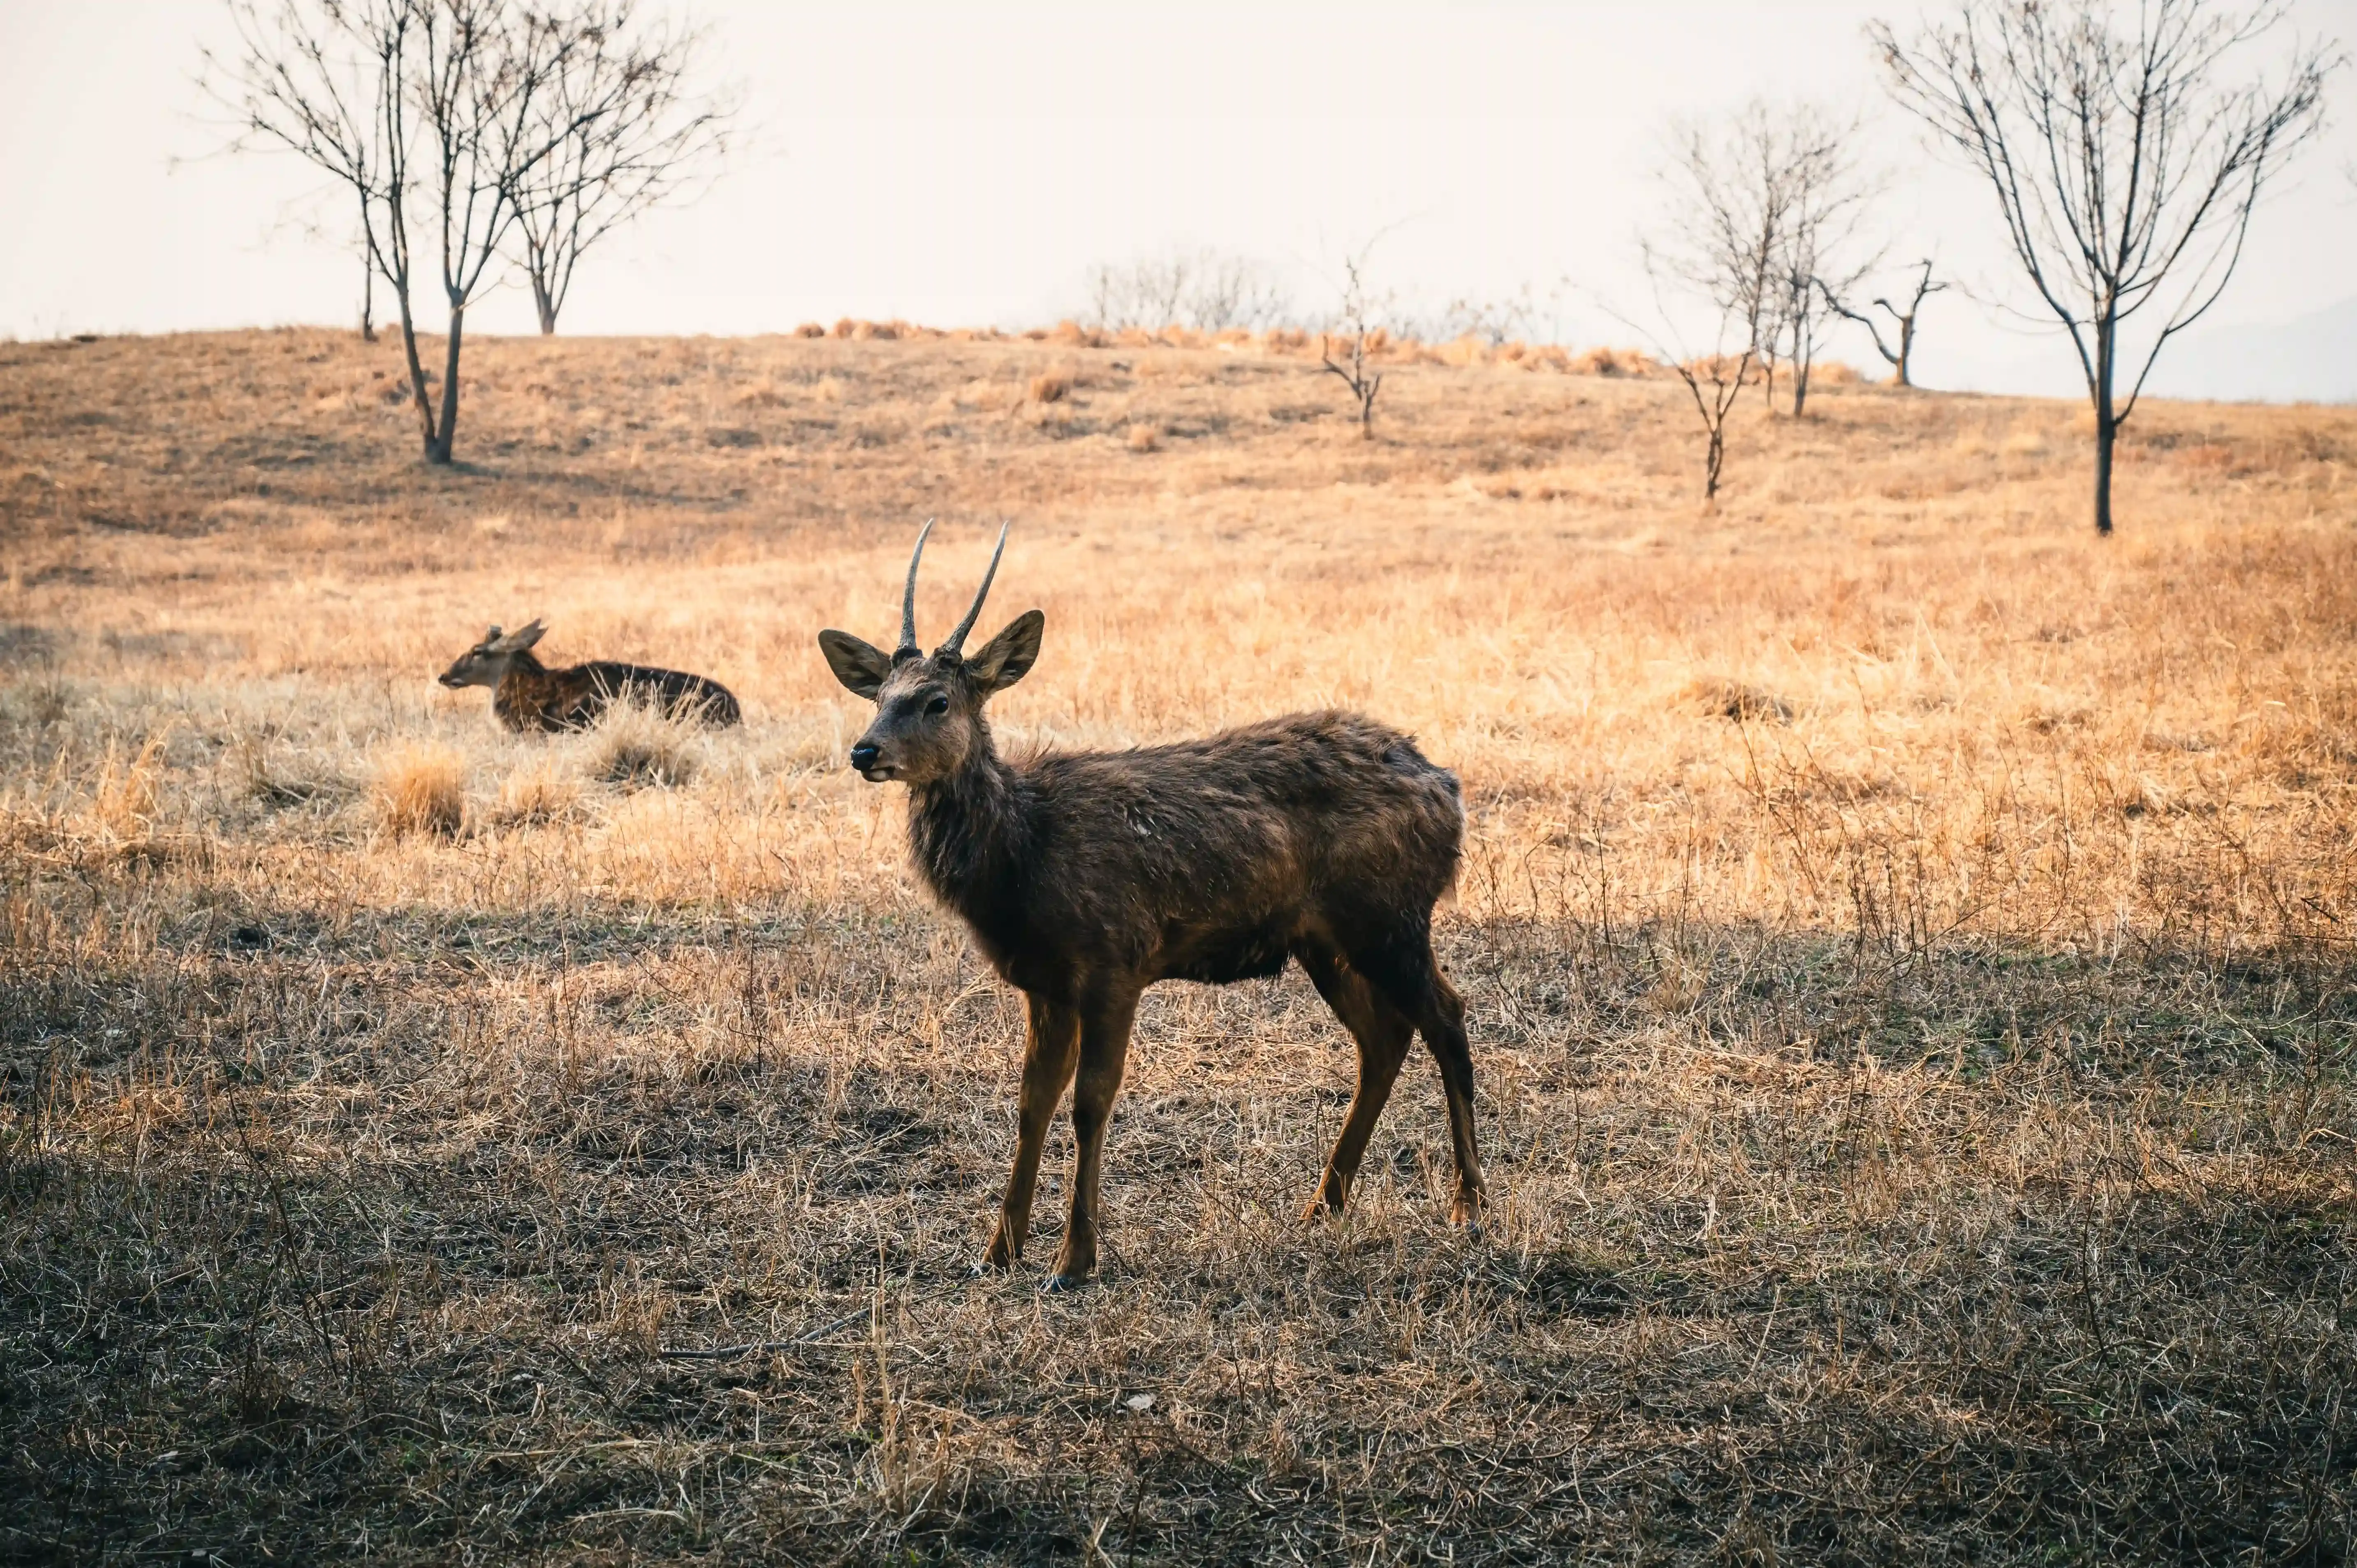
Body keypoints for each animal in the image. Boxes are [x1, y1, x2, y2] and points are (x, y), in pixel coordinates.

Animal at [817, 521, 1484, 1290]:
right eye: (879, 696)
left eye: (938, 702)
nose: (865, 751)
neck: (1023, 860)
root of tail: (1448, 788)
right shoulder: (1045, 982)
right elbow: (1031, 1103)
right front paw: (998, 1250)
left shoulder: (1115, 959)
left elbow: (1090, 1102)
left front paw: (1074, 1259)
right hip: (1327, 939)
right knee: (1385, 1036)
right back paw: (1323, 1203)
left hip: (1392, 915)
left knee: (1446, 1017)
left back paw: (1469, 1204)